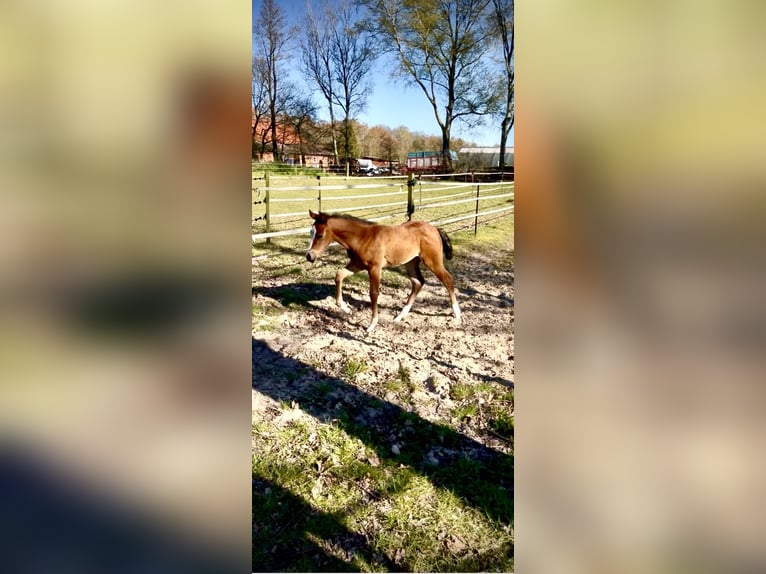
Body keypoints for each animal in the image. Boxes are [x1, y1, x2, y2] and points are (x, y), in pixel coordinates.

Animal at [306, 210, 461, 333]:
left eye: (319, 235)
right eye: (310, 233)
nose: (309, 256)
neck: (362, 238)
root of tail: (435, 228)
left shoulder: (375, 267)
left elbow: (373, 293)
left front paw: (372, 324)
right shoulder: (357, 264)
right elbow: (339, 275)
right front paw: (345, 308)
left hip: (432, 261)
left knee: (447, 279)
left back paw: (457, 313)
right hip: (411, 262)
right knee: (418, 282)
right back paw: (399, 316)